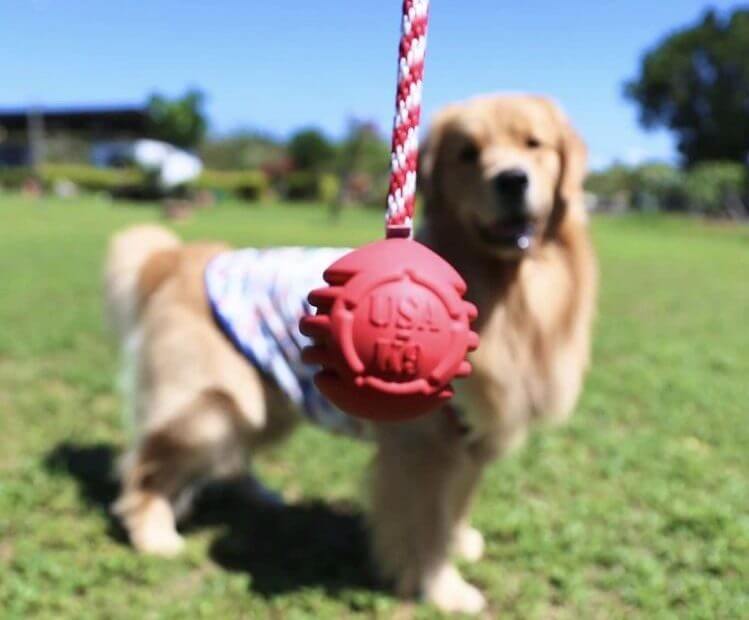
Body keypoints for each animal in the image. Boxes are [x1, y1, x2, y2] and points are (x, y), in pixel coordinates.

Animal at [103, 94, 596, 612]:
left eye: (534, 144)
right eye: (468, 154)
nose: (511, 179)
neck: (510, 295)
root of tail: (178, 257)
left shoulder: (471, 437)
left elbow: (458, 502)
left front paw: (461, 543)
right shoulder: (421, 446)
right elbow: (427, 528)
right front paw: (442, 588)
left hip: (265, 403)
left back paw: (256, 495)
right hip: (215, 406)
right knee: (145, 464)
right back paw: (152, 532)